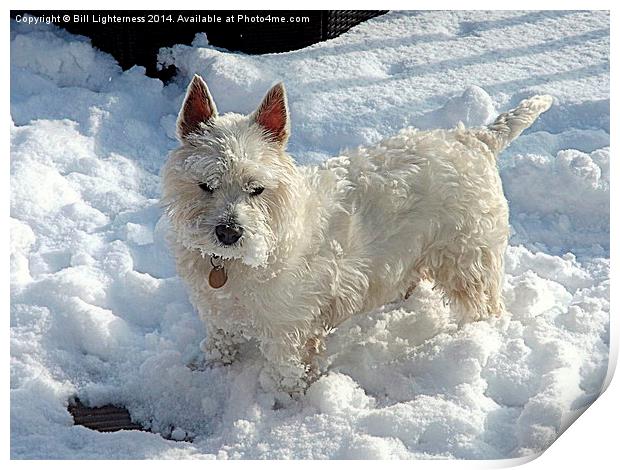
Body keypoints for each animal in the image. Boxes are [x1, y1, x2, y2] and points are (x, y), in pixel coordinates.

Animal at [161, 75, 552, 394]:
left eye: (256, 188)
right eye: (205, 185)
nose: (228, 232)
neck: (235, 265)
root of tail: (474, 139)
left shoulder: (289, 329)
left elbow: (288, 371)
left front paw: (283, 407)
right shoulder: (217, 314)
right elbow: (219, 343)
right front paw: (205, 371)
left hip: (467, 256)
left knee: (485, 302)